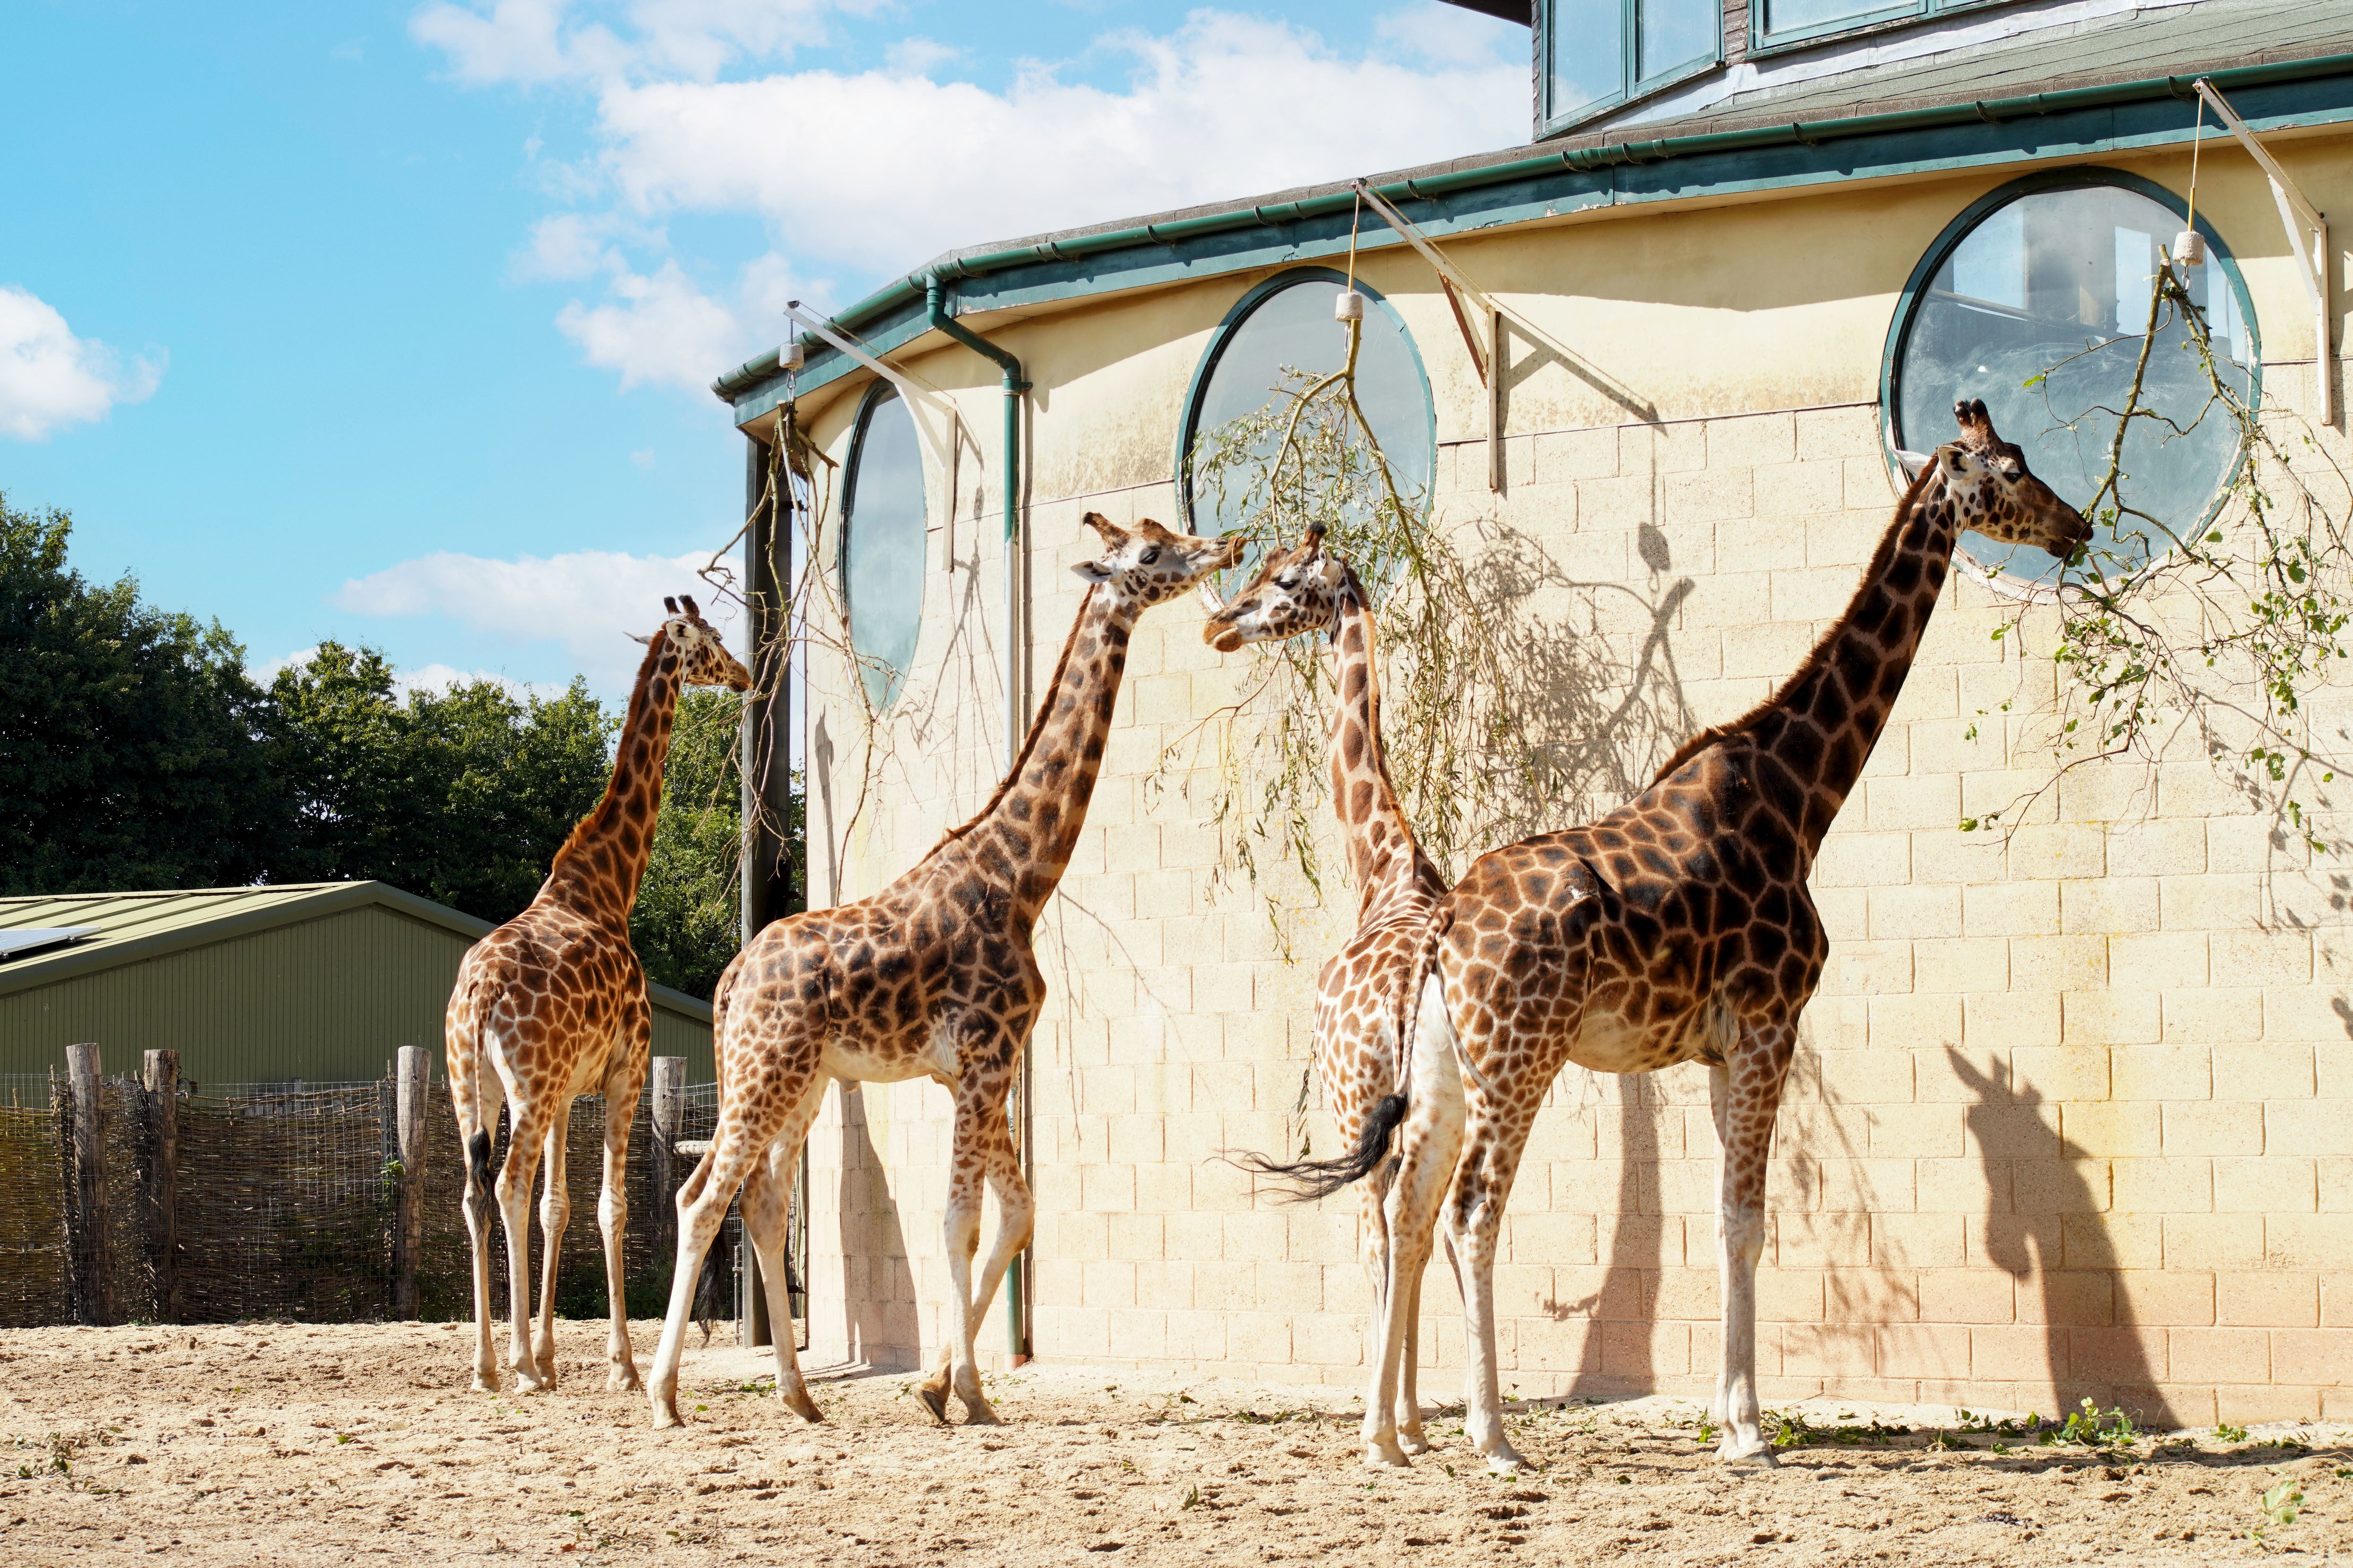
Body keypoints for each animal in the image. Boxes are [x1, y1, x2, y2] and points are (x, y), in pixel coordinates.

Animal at [445, 597, 748, 1401]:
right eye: (711, 643)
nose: (743, 675)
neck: (608, 887)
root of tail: (478, 996)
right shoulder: (624, 1072)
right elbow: (612, 1208)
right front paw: (618, 1363)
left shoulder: (566, 1094)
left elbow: (560, 1208)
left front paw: (554, 1355)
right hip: (525, 1085)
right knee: (507, 1186)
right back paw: (516, 1365)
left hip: (475, 1085)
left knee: (477, 1192)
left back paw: (488, 1365)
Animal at [635, 517, 1242, 1439]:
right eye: (1148, 556)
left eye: (1167, 535)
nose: (1227, 548)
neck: (1021, 879)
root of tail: (732, 978)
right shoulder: (984, 1061)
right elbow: (961, 1222)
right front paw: (966, 1391)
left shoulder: (978, 1071)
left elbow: (1017, 1216)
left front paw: (940, 1384)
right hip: (762, 1075)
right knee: (702, 1199)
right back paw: (666, 1398)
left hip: (801, 1082)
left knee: (764, 1204)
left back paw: (800, 1397)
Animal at [1205, 522, 1459, 1457]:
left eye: (1283, 580)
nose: (1218, 626)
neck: (1383, 867)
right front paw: (1417, 1423)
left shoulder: (1357, 1112)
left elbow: (1379, 1249)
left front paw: (1394, 1424)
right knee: (1430, 1226)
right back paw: (1408, 1424)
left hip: (1360, 1109)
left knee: (1386, 1232)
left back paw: (1377, 1433)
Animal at [1336, 400, 2089, 1476]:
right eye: (2013, 468)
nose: (2079, 529)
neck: (1801, 792)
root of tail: (1442, 927)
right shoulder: (1773, 1021)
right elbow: (1748, 1224)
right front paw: (1747, 1430)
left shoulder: (1715, 1048)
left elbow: (1725, 1218)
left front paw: (1734, 1417)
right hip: (1522, 1057)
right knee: (1473, 1211)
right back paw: (1493, 1436)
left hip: (1447, 1063)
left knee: (1407, 1206)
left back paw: (1386, 1440)